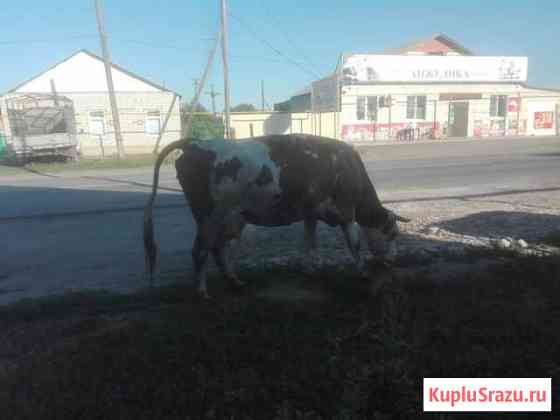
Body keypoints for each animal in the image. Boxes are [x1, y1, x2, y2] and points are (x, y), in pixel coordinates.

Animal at [142, 135, 410, 298]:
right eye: (393, 234)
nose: (394, 260)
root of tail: (194, 142)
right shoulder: (346, 212)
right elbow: (354, 245)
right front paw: (363, 272)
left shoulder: (311, 212)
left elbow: (310, 243)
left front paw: (311, 268)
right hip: (210, 216)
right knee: (200, 251)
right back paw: (202, 292)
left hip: (228, 218)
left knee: (218, 249)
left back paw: (234, 281)